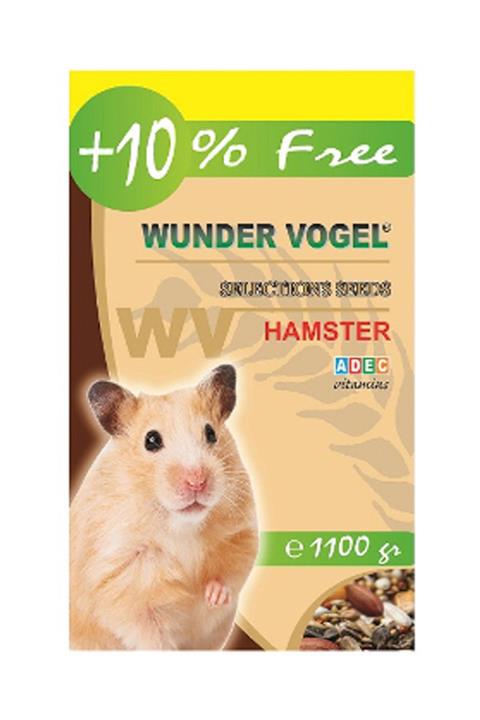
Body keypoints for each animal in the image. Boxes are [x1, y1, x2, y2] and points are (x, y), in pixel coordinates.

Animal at [70, 365, 258, 650]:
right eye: (151, 440)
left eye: (211, 433)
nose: (197, 482)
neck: (181, 525)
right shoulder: (120, 577)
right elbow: (148, 628)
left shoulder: (241, 533)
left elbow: (232, 570)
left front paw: (213, 597)